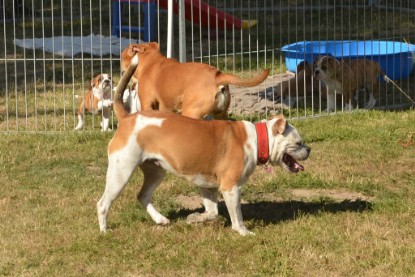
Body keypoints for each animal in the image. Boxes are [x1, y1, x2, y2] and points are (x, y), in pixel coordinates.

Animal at [97, 54, 312, 235]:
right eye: (298, 143)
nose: (309, 149)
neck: (257, 139)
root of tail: (127, 118)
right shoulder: (230, 187)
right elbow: (237, 217)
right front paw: (244, 232)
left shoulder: (208, 187)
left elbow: (212, 212)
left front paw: (195, 218)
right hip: (121, 172)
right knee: (103, 203)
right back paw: (104, 231)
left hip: (156, 171)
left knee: (142, 196)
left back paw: (160, 219)